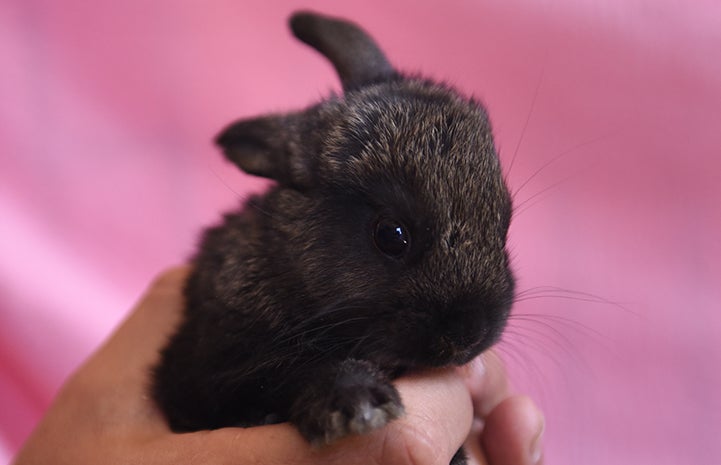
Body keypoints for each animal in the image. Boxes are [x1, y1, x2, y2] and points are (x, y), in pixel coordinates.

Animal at [153, 10, 512, 464]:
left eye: (506, 219)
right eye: (391, 235)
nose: (468, 335)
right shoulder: (213, 371)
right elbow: (294, 368)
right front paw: (358, 404)